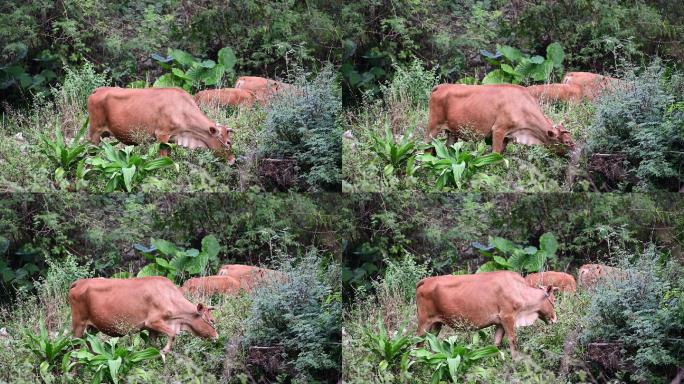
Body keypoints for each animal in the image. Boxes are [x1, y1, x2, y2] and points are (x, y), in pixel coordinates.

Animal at [67, 276, 216, 360]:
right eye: (211, 320)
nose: (217, 336)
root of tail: (80, 283)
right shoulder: (153, 322)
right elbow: (173, 334)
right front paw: (164, 352)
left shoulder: (152, 330)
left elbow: (152, 346)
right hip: (78, 323)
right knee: (74, 346)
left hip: (92, 327)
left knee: (89, 343)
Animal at [87, 87, 236, 164]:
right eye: (228, 142)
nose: (233, 160)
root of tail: (97, 90)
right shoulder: (162, 135)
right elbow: (163, 159)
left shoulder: (172, 139)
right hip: (94, 132)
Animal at [414, 270, 560, 356]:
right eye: (553, 300)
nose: (554, 319)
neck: (519, 290)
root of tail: (426, 280)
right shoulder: (508, 317)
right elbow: (513, 340)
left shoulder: (500, 322)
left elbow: (496, 344)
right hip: (423, 322)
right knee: (418, 344)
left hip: (436, 324)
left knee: (431, 343)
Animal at [424, 84, 576, 153]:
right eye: (567, 142)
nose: (577, 151)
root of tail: (441, 86)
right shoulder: (498, 130)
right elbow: (495, 154)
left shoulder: (507, 137)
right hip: (433, 127)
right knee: (426, 148)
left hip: (452, 133)